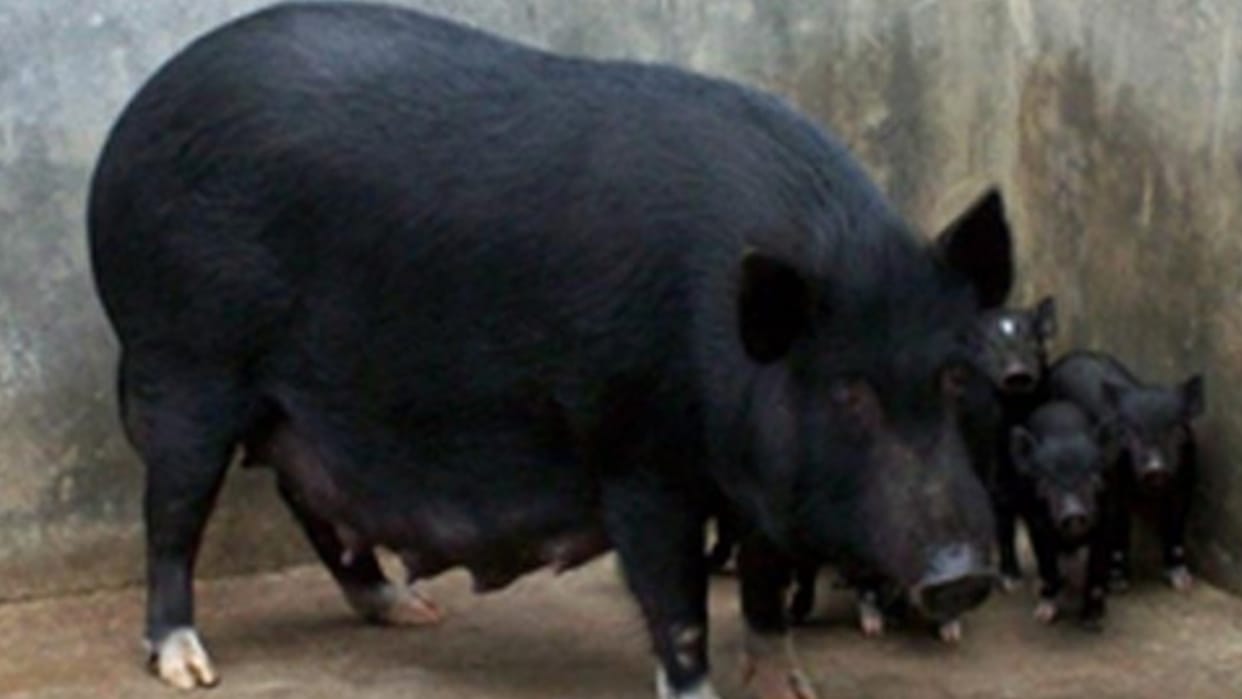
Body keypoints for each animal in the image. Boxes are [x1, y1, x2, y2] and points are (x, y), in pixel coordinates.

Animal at [87, 4, 1010, 697]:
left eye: (955, 375)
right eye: (849, 392)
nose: (962, 571)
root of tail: (134, 118)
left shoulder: (757, 487)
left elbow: (765, 588)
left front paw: (791, 688)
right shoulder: (638, 454)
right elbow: (677, 606)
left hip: (286, 406)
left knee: (309, 499)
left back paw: (411, 611)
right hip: (185, 362)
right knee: (172, 512)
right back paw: (189, 666)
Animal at [1008, 401, 1115, 629]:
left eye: (1093, 477)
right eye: (1045, 482)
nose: (1073, 512)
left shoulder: (1106, 520)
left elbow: (1096, 566)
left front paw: (1092, 619)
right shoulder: (1037, 525)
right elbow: (1047, 564)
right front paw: (1043, 616)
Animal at [1049, 351, 1204, 594]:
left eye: (1175, 428)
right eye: (1131, 431)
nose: (1154, 468)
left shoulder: (1186, 481)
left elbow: (1176, 526)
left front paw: (1183, 583)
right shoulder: (1112, 484)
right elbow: (1119, 528)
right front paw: (1118, 585)